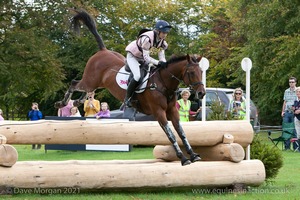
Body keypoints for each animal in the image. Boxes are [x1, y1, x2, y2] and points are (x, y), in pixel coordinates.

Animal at [55, 9, 206, 166]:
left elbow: (181, 132)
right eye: (191, 72)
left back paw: (77, 101)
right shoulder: (159, 112)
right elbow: (170, 134)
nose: (201, 93)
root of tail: (103, 51)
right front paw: (183, 158)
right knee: (74, 83)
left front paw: (193, 155)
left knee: (87, 90)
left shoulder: (172, 111)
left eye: (201, 71)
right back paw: (62, 103)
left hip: (96, 83)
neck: (163, 84)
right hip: (90, 80)